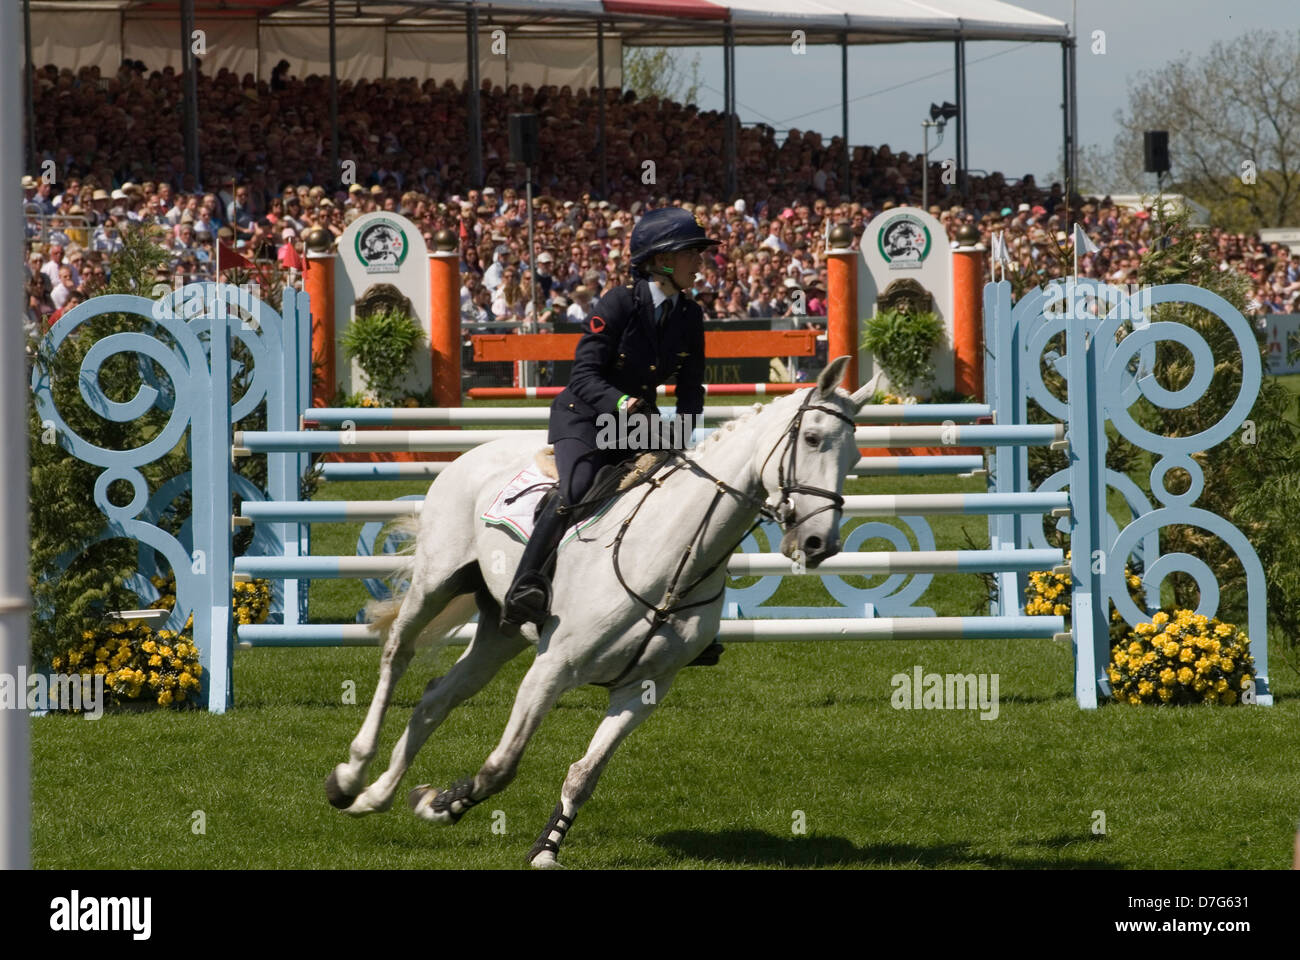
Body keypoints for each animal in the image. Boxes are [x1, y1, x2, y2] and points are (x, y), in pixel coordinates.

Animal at [325, 356, 873, 868]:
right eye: (812, 438)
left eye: (855, 454)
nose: (819, 544)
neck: (674, 557)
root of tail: (475, 453)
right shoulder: (551, 669)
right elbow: (502, 766)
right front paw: (440, 804)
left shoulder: (643, 689)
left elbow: (584, 775)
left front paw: (544, 847)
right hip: (435, 584)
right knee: (397, 655)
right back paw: (350, 777)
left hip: (500, 630)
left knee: (435, 699)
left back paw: (376, 795)